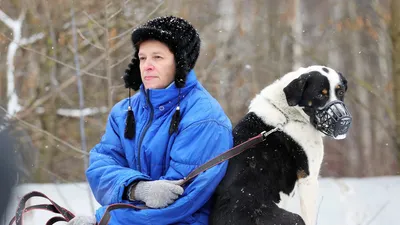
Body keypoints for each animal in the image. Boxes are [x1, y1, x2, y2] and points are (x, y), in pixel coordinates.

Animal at [209, 65, 354, 225]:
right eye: (320, 94)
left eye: (340, 92)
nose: (344, 122)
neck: (288, 115)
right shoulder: (308, 179)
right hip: (293, 218)